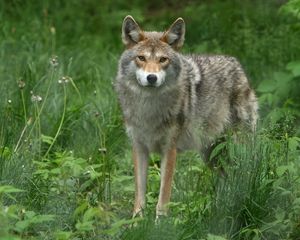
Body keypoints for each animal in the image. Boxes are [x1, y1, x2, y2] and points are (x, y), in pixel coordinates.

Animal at [115, 15, 258, 219]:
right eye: (141, 58)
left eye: (163, 59)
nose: (152, 78)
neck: (149, 109)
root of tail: (237, 64)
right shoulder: (139, 148)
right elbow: (139, 197)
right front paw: (135, 222)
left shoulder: (170, 150)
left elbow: (163, 197)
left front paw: (160, 223)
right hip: (211, 156)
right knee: (228, 180)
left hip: (238, 148)